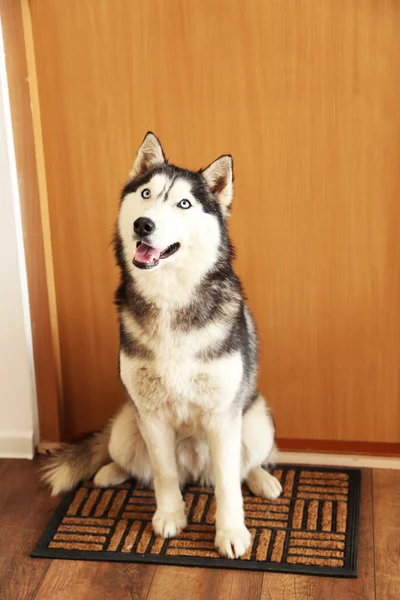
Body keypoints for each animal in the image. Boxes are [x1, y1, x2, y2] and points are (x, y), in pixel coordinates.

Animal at [43, 134, 282, 560]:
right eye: (146, 194)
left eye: (184, 203)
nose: (143, 223)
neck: (171, 297)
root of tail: (196, 472)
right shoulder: (151, 415)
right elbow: (163, 473)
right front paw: (171, 516)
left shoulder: (223, 417)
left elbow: (228, 484)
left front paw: (231, 532)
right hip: (126, 425)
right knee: (134, 463)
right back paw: (109, 472)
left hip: (257, 421)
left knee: (245, 465)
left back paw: (262, 480)